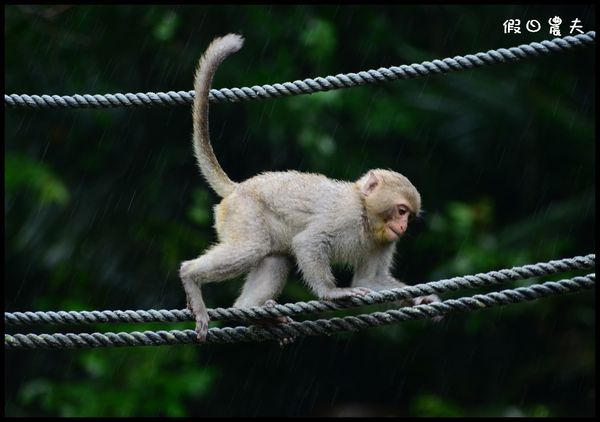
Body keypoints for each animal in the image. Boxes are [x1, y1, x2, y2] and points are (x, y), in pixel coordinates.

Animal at [180, 33, 438, 342]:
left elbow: (369, 279)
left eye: (409, 215)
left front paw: (422, 299)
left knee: (274, 258)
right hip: (243, 212)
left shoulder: (385, 239)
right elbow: (308, 242)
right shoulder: (345, 215)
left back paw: (255, 314)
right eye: (401, 210)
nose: (403, 226)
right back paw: (190, 276)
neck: (366, 215)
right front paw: (333, 293)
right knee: (252, 248)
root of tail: (238, 188)